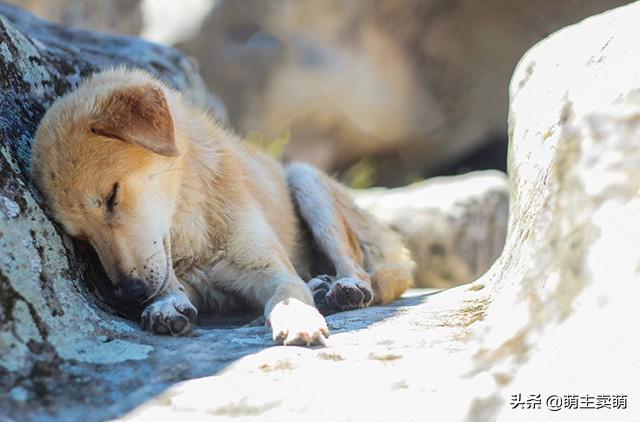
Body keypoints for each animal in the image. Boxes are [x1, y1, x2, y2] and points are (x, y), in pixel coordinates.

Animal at [30, 68, 412, 346]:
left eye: (112, 197)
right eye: (81, 239)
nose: (129, 292)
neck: (193, 230)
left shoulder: (272, 270)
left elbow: (288, 295)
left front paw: (299, 317)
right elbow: (169, 284)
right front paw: (165, 304)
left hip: (306, 179)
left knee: (358, 265)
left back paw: (344, 288)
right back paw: (322, 286)